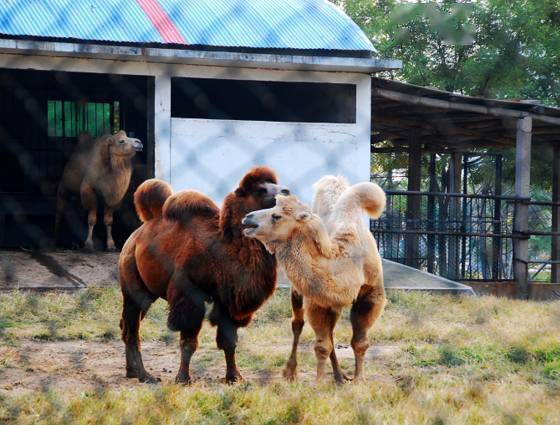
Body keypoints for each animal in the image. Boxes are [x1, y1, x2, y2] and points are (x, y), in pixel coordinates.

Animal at [121, 166, 290, 384]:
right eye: (261, 189)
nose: (286, 192)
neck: (226, 249)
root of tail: (134, 237)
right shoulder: (189, 296)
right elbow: (189, 342)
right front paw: (183, 378)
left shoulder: (229, 302)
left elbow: (229, 342)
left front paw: (235, 377)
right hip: (131, 285)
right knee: (133, 331)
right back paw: (145, 375)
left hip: (148, 292)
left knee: (126, 326)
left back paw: (131, 371)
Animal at [243, 177, 388, 382]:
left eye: (276, 216)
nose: (248, 218)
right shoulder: (316, 300)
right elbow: (321, 346)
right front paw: (319, 383)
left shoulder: (370, 294)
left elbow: (359, 342)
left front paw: (359, 379)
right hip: (298, 292)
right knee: (298, 324)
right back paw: (292, 372)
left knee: (331, 333)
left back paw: (339, 376)